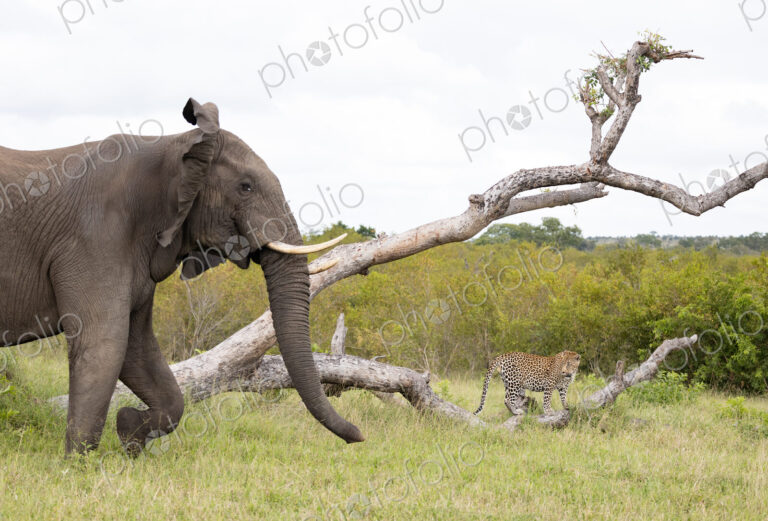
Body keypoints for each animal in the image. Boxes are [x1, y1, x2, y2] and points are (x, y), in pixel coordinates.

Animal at [0, 98, 364, 453]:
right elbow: (104, 343)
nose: (358, 436)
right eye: (245, 187)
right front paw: (78, 462)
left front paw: (130, 433)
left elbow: (140, 350)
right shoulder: (95, 238)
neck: (175, 146)